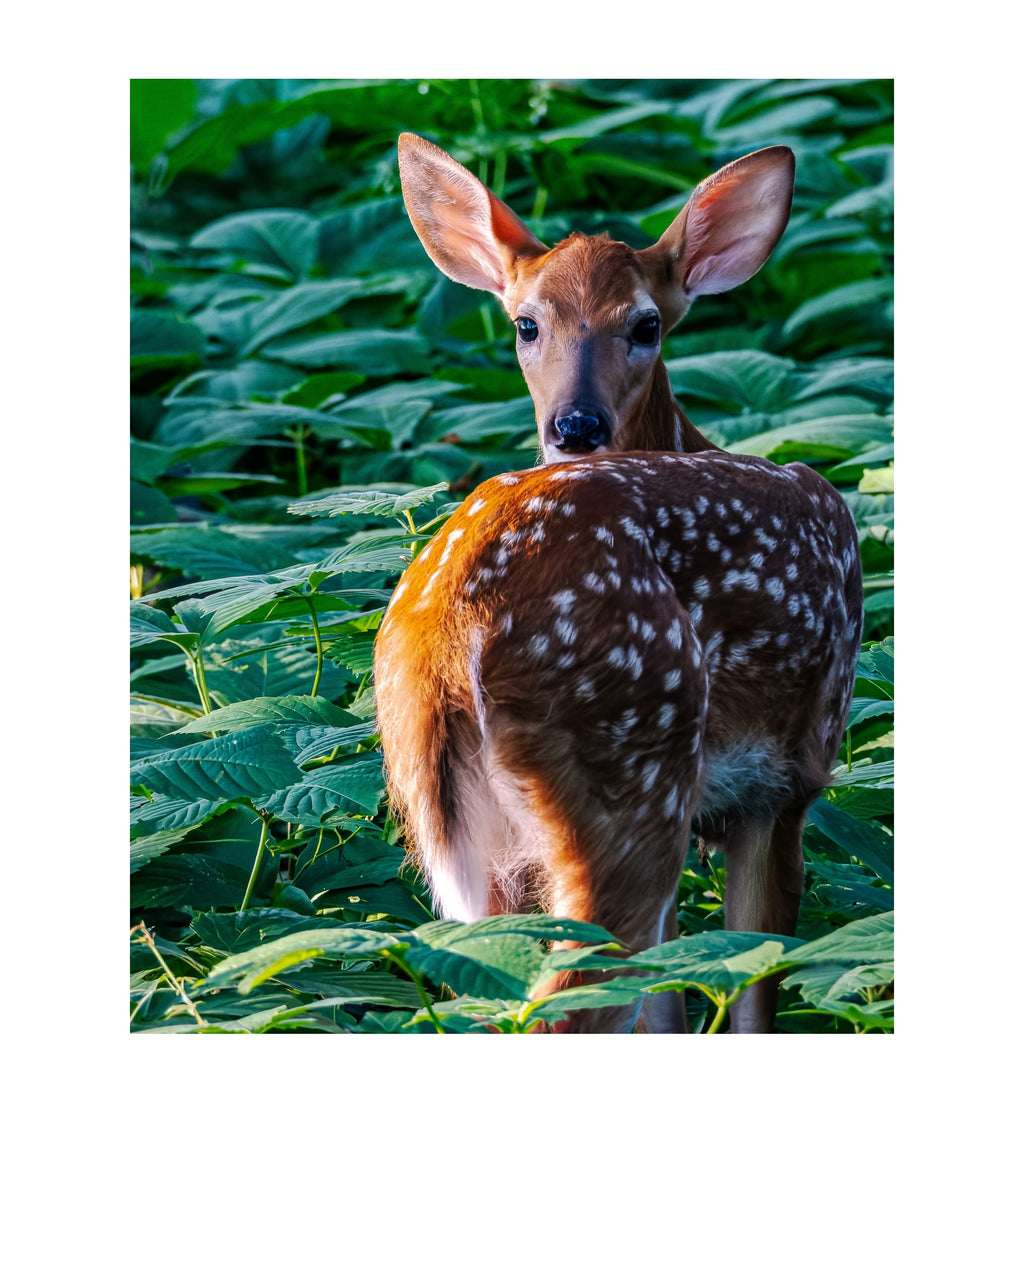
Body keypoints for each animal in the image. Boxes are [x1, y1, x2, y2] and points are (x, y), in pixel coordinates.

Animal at [373, 134, 863, 1032]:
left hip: (466, 841)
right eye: (526, 324)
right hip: (631, 762)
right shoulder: (791, 777)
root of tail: (447, 630)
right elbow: (755, 984)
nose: (576, 426)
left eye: (646, 324)